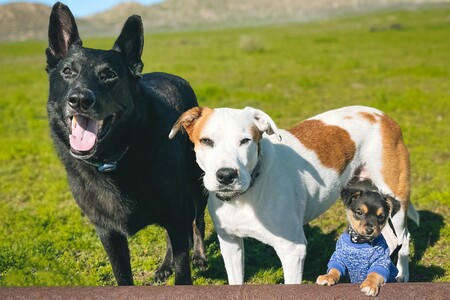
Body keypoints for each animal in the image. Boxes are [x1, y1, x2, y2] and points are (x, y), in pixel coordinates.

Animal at [45, 2, 207, 284]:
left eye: (109, 75)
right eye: (67, 71)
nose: (80, 99)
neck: (114, 161)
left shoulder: (177, 215)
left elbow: (183, 267)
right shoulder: (109, 234)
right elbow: (123, 275)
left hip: (196, 186)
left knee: (198, 222)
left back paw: (198, 255)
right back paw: (165, 265)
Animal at [168, 105, 418, 284]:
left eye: (245, 141)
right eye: (206, 141)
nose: (226, 175)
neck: (246, 194)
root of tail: (383, 116)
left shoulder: (292, 250)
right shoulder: (230, 244)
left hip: (394, 199)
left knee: (403, 237)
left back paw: (402, 275)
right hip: (372, 202)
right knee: (388, 238)